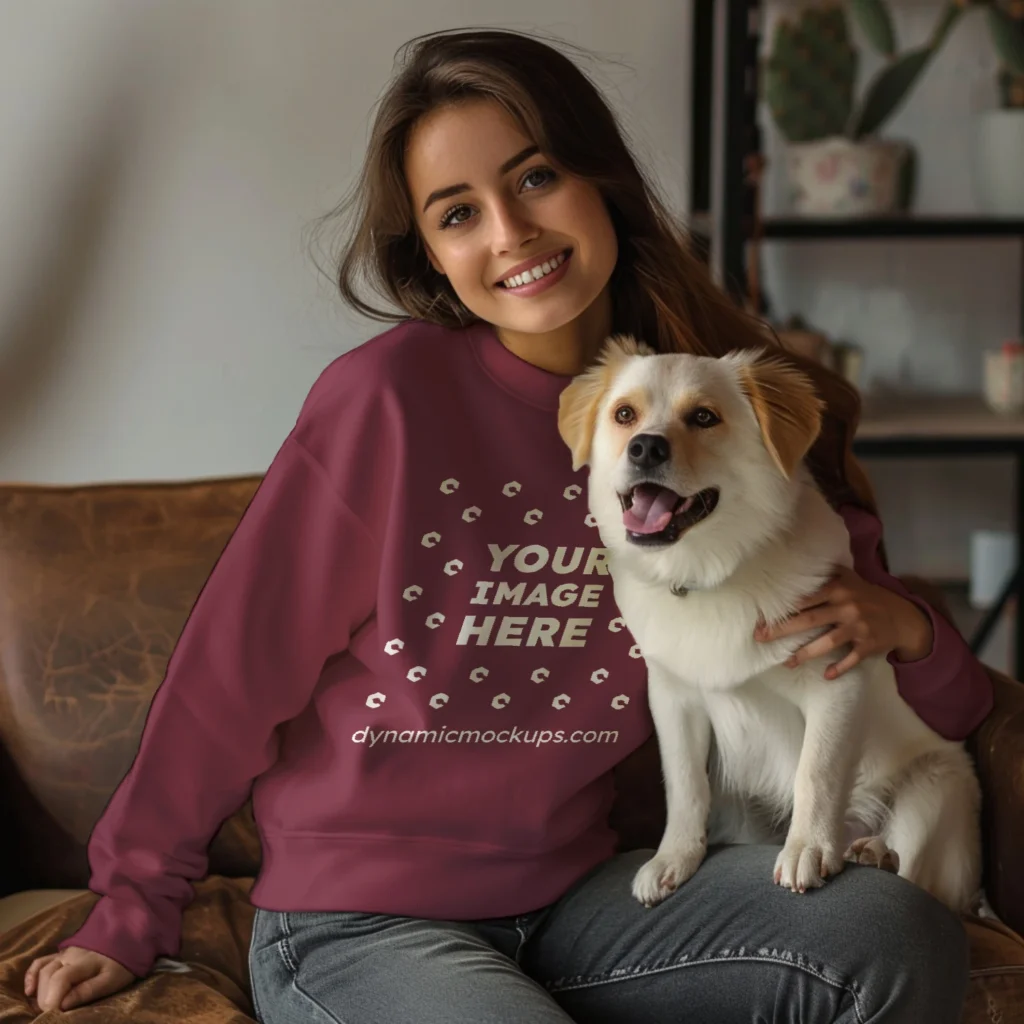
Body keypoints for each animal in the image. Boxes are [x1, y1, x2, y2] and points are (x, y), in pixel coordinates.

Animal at [561, 335, 983, 913]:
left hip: (934, 789)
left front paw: (809, 848)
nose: (645, 447)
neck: (711, 573)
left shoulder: (835, 682)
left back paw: (872, 852)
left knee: (919, 873)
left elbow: (816, 774)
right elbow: (685, 785)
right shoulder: (673, 699)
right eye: (624, 414)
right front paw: (674, 858)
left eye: (704, 417)